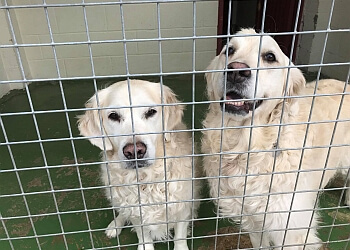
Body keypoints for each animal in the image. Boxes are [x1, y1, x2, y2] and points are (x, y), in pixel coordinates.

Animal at [79, 80, 200, 250]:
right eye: (113, 116)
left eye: (150, 112)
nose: (134, 151)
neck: (145, 179)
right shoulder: (134, 210)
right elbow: (142, 234)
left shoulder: (182, 206)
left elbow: (180, 236)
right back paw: (115, 225)